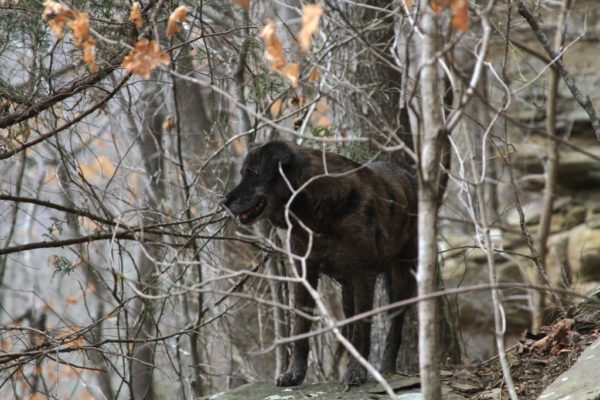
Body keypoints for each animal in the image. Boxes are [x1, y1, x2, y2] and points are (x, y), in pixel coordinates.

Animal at [221, 141, 418, 388]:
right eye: (242, 173)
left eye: (253, 173)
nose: (223, 202)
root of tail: (407, 173)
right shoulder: (305, 272)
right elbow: (300, 327)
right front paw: (294, 373)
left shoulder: (363, 276)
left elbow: (361, 329)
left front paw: (355, 372)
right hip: (348, 289)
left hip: (402, 274)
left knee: (395, 323)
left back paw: (387, 369)